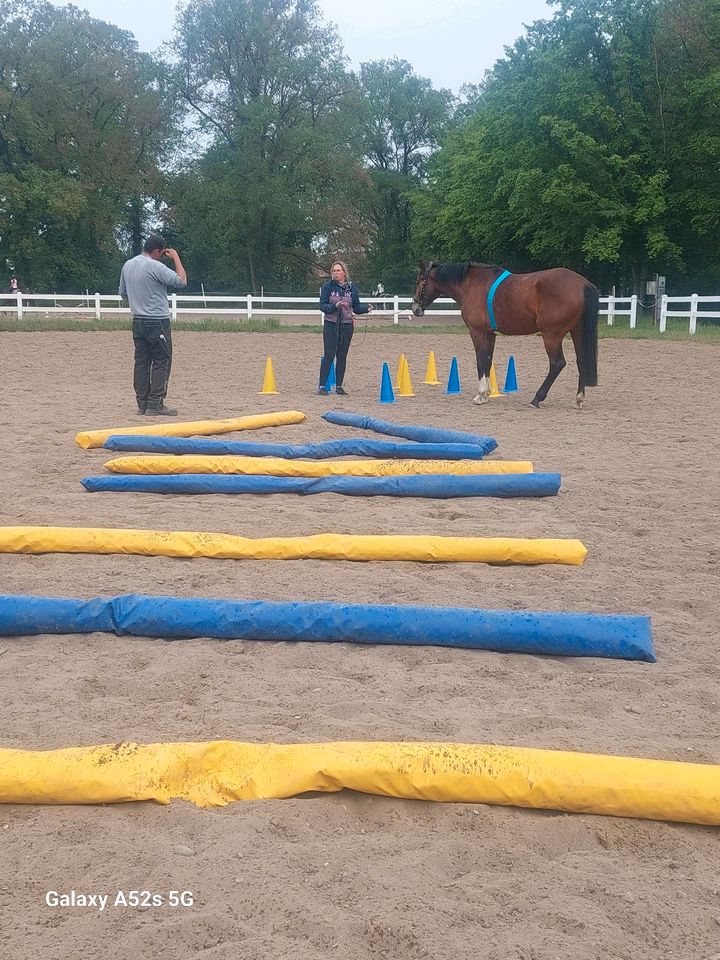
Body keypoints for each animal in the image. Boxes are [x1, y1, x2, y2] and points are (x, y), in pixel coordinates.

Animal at [414, 262, 600, 408]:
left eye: (420, 281)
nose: (415, 307)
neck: (471, 284)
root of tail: (582, 284)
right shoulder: (490, 334)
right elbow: (487, 360)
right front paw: (486, 395)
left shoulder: (477, 332)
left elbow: (480, 360)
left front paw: (480, 395)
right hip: (577, 332)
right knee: (581, 361)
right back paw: (578, 399)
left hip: (551, 335)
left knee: (557, 364)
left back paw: (537, 399)